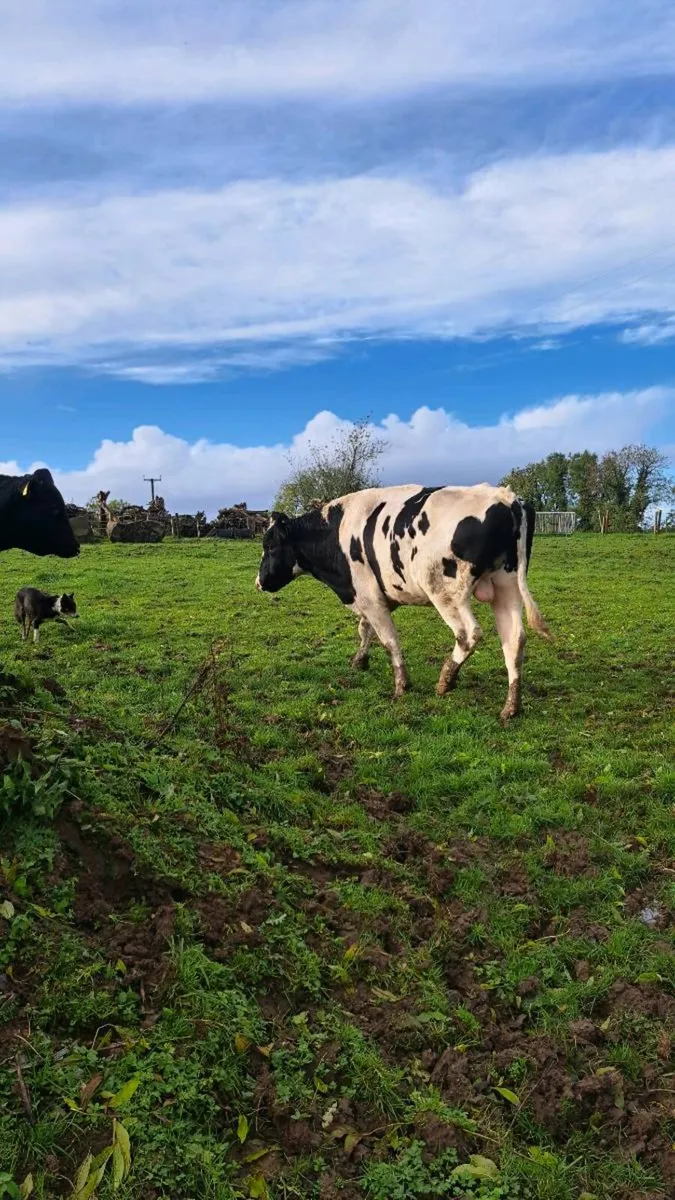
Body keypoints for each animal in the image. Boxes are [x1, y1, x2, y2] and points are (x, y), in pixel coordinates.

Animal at [255, 484, 551, 722]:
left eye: (269, 546)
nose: (259, 583)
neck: (336, 533)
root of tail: (506, 498)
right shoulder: (377, 596)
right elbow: (365, 629)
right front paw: (360, 660)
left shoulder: (369, 597)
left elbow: (389, 641)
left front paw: (401, 686)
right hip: (506, 587)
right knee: (514, 640)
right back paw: (511, 706)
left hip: (445, 591)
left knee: (469, 634)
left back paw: (445, 680)